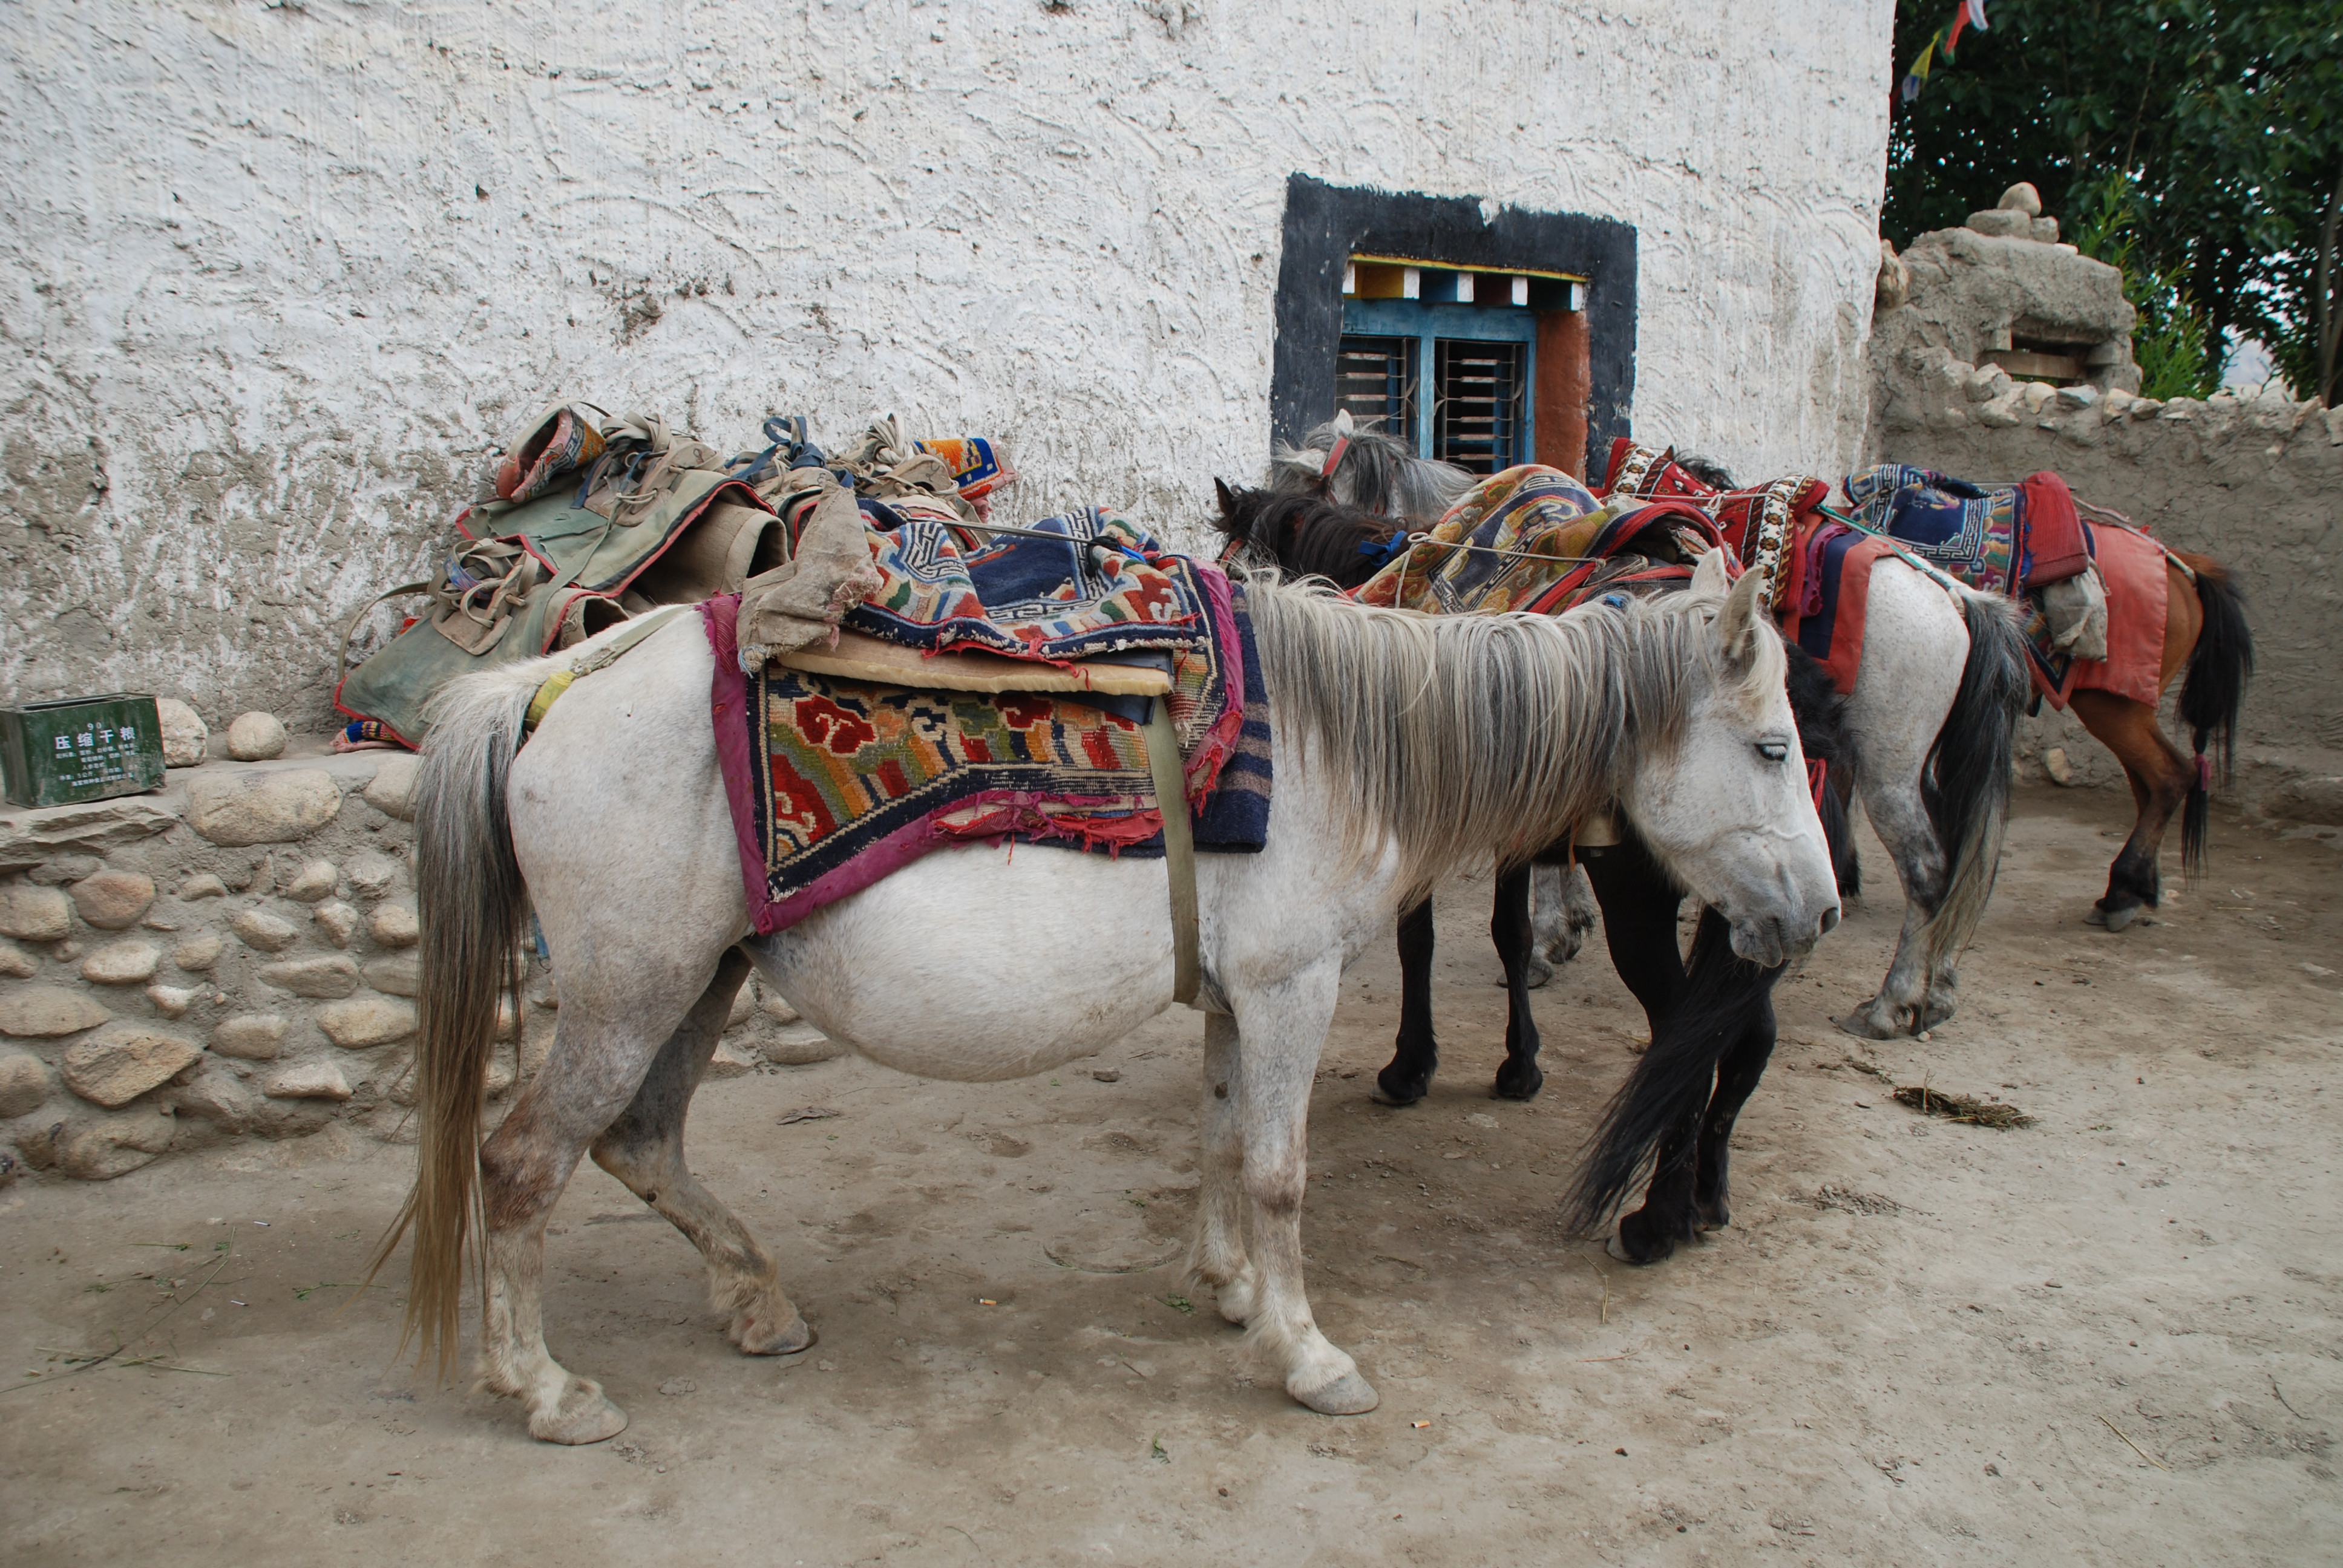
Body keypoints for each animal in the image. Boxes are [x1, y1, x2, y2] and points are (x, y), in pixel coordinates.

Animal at [370, 553, 1827, 1443]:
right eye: (1770, 747)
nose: (1813, 915)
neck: (1336, 742)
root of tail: (551, 682)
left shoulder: (1241, 995)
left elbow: (1224, 1141)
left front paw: (1229, 1291)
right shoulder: (1292, 985)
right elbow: (1283, 1172)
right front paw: (1309, 1356)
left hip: (698, 981)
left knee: (640, 1142)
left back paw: (756, 1302)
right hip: (633, 989)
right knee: (522, 1164)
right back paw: (546, 1388)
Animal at [1218, 478, 1855, 1256]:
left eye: (1234, 554)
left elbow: (1425, 941)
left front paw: (1411, 1067)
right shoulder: (1513, 833)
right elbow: (1509, 935)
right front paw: (1519, 1064)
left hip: (1654, 903)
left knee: (1684, 1038)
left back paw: (1656, 1221)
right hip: (1752, 915)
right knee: (1745, 1037)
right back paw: (1706, 1197)